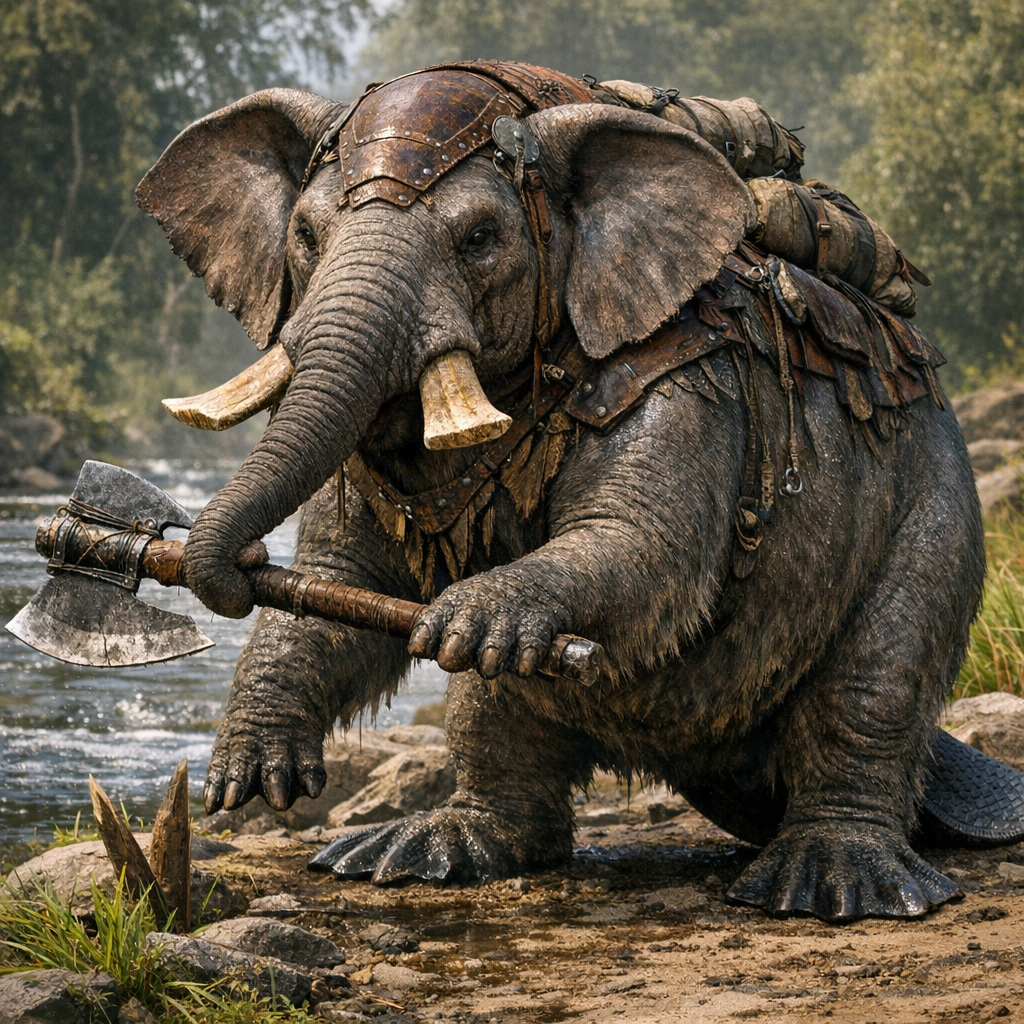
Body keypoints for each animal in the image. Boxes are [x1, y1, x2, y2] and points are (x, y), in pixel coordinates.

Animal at [136, 60, 1015, 922]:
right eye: (307, 237)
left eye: (480, 239)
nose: (234, 561)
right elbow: (340, 576)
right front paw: (251, 774)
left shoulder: (676, 369)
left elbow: (643, 542)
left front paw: (465, 622)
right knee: (489, 710)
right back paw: (422, 853)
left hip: (934, 497)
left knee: (875, 680)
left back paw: (834, 885)